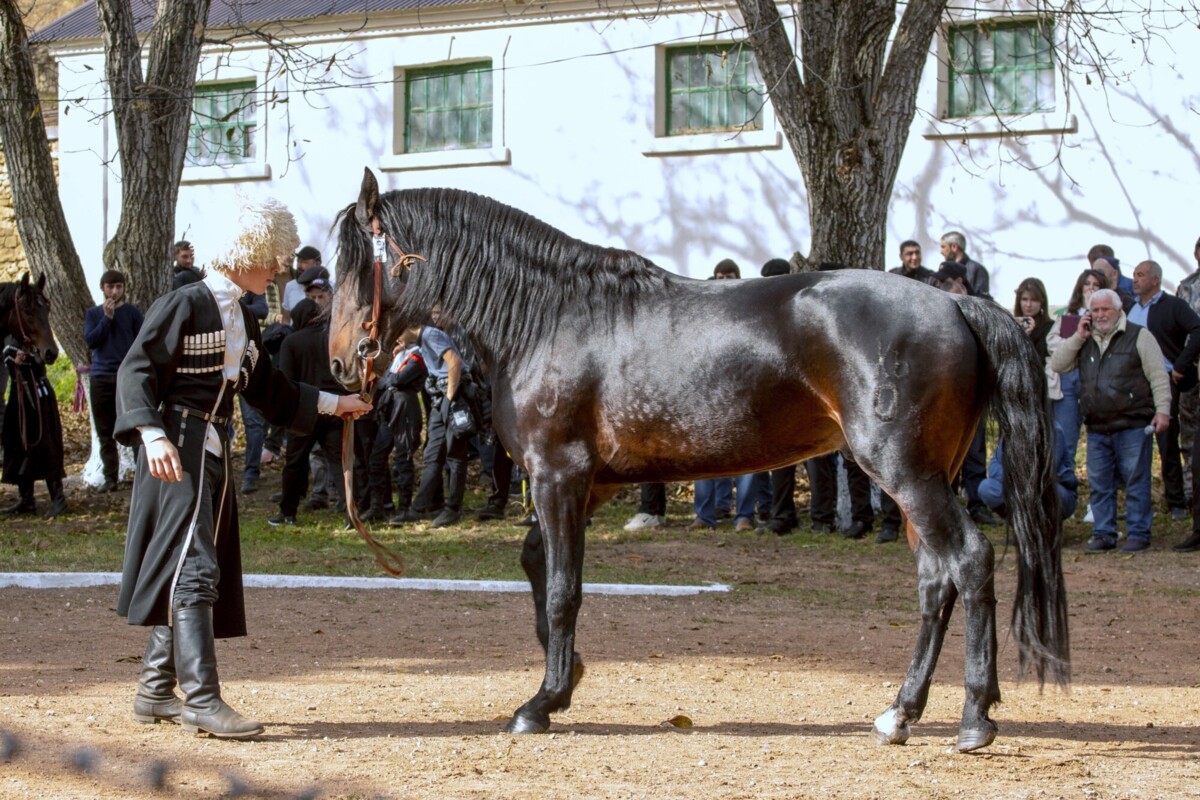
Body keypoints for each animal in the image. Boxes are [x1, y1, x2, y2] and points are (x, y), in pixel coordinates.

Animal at [328, 169, 1070, 753]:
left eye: (355, 266)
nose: (340, 363)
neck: (549, 318)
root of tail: (955, 302)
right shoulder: (583, 485)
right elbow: (539, 569)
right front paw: (565, 681)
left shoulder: (558, 476)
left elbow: (564, 589)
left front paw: (541, 703)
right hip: (922, 477)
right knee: (935, 582)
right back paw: (901, 713)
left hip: (907, 473)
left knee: (969, 561)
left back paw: (974, 719)